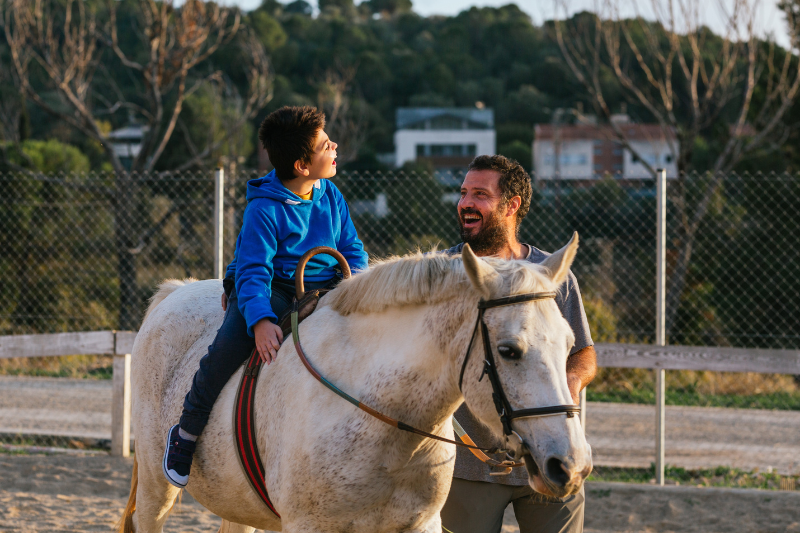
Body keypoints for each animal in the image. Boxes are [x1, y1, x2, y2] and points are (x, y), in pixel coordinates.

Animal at [119, 238, 592, 532]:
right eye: (510, 350)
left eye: (570, 344)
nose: (571, 465)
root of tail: (173, 292)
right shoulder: (308, 526)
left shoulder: (419, 524)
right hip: (158, 488)